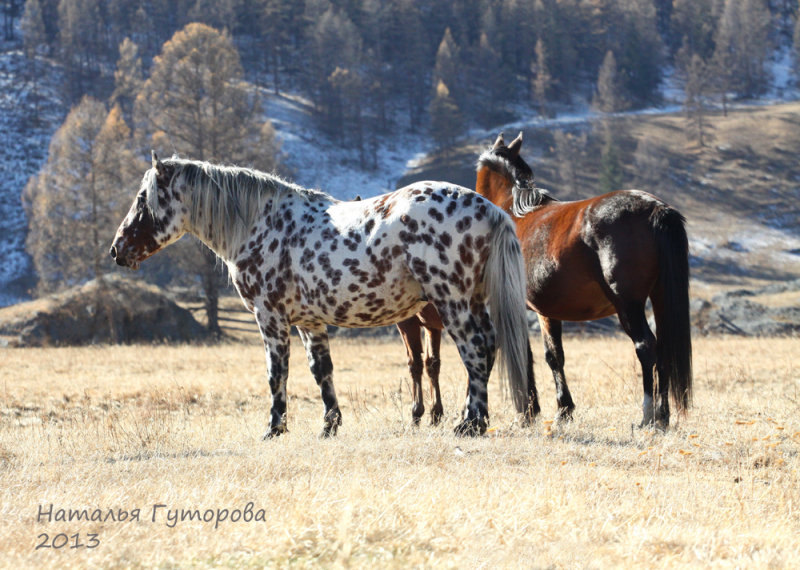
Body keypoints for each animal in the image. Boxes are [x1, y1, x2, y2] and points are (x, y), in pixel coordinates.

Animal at [108, 151, 532, 434]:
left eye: (143, 199)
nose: (116, 249)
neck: (260, 224)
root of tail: (491, 210)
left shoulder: (270, 319)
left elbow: (277, 374)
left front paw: (274, 427)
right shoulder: (309, 323)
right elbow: (320, 371)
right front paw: (329, 425)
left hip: (453, 303)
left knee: (476, 351)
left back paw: (471, 422)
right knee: (484, 349)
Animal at [396, 133, 692, 426]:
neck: (512, 211)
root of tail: (655, 208)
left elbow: (520, 354)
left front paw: (526, 411)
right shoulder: (546, 311)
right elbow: (554, 356)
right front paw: (563, 409)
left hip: (628, 305)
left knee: (646, 347)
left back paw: (647, 415)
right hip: (660, 299)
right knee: (663, 350)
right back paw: (663, 415)